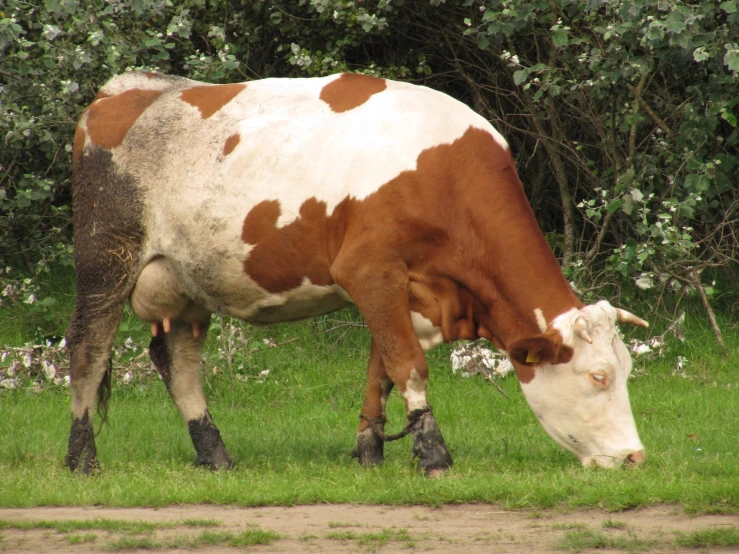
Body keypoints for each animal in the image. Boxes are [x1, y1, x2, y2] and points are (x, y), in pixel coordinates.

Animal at [68, 69, 648, 474]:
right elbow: (409, 365)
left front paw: (370, 450)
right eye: (598, 376)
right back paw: (82, 459)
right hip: (104, 259)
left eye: (626, 372)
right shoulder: (369, 271)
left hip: (186, 281)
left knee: (178, 361)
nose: (635, 457)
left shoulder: (399, 290)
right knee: (88, 352)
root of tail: (123, 91)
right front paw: (434, 455)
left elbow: (381, 370)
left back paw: (215, 454)